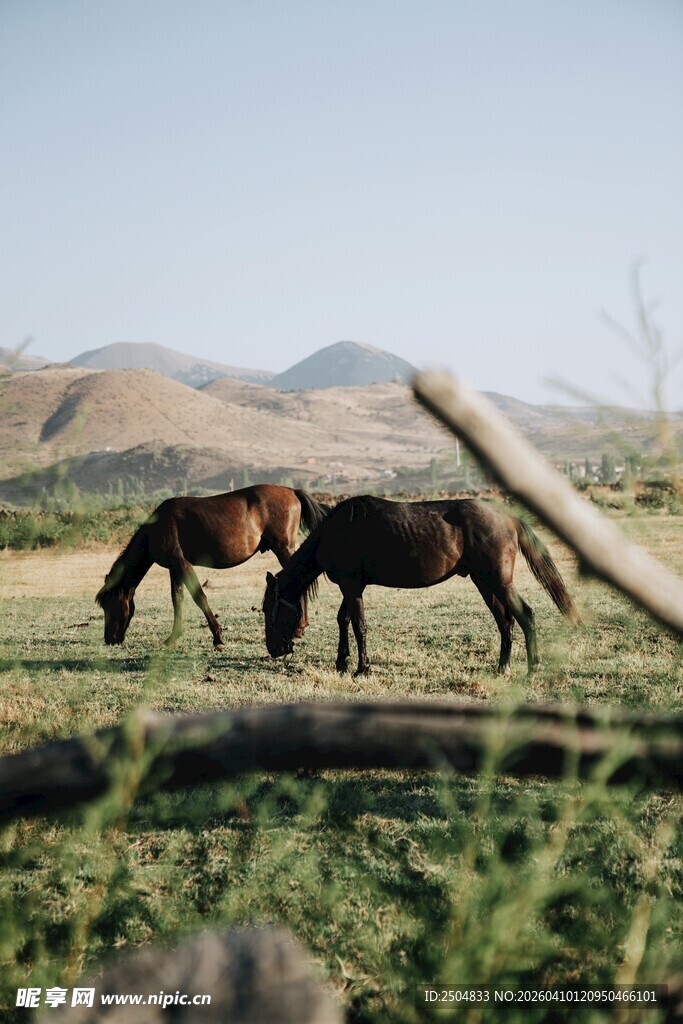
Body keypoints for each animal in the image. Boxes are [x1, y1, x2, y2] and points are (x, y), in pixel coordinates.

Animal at [97, 485, 331, 649]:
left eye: (110, 604)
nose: (110, 639)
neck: (158, 526)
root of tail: (292, 491)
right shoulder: (174, 568)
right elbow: (177, 599)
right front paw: (173, 637)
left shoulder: (182, 564)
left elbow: (199, 596)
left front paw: (217, 636)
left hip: (284, 549)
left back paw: (299, 628)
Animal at [262, 495, 580, 675]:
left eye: (268, 610)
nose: (274, 650)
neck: (338, 529)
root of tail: (507, 518)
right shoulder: (352, 586)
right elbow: (345, 620)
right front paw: (342, 663)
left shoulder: (352, 586)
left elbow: (359, 625)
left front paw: (362, 668)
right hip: (484, 582)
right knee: (505, 622)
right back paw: (503, 668)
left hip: (499, 581)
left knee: (525, 615)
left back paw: (532, 669)